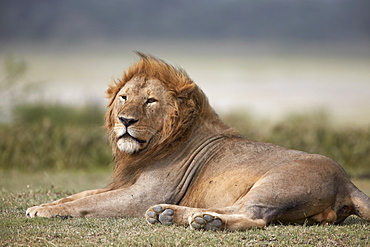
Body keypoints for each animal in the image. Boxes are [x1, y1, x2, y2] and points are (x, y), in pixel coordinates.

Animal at [27, 51, 370, 231]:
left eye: (150, 101)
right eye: (124, 97)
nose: (125, 120)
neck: (147, 150)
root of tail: (347, 181)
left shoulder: (141, 194)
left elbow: (86, 203)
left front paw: (44, 211)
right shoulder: (122, 183)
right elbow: (79, 194)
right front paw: (41, 205)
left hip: (276, 183)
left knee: (254, 215)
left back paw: (202, 221)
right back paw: (172, 215)